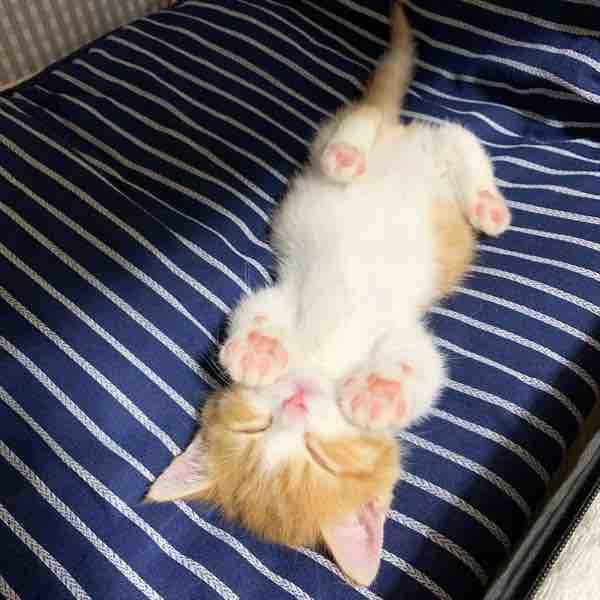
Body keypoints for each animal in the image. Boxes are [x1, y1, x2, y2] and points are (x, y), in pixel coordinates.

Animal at [146, 1, 511, 587]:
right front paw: (258, 351)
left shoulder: (400, 330)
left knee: (446, 134)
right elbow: (257, 312)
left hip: (395, 153)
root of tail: (393, 136)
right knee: (408, 130)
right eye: (255, 427)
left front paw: (378, 393)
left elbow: (421, 365)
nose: (296, 398)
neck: (322, 357)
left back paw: (478, 201)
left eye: (322, 455)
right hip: (371, 154)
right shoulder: (282, 294)